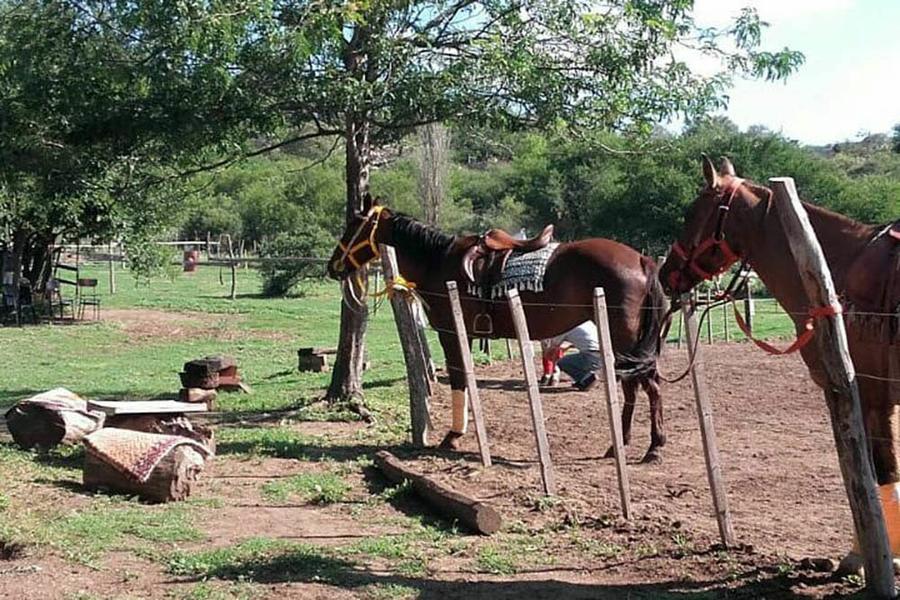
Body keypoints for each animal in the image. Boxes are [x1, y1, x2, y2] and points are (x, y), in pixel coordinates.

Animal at [327, 196, 670, 463]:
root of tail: (642, 260)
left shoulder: (451, 334)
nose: (334, 266)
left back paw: (653, 448)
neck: (437, 262)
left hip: (625, 342)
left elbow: (459, 378)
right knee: (634, 387)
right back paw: (621, 445)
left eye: (354, 225)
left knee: (648, 387)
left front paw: (453, 436)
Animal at [659, 155, 900, 555]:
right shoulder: (876, 401)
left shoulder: (868, 396)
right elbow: (877, 485)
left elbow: (875, 484)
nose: (666, 275)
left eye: (692, 212)